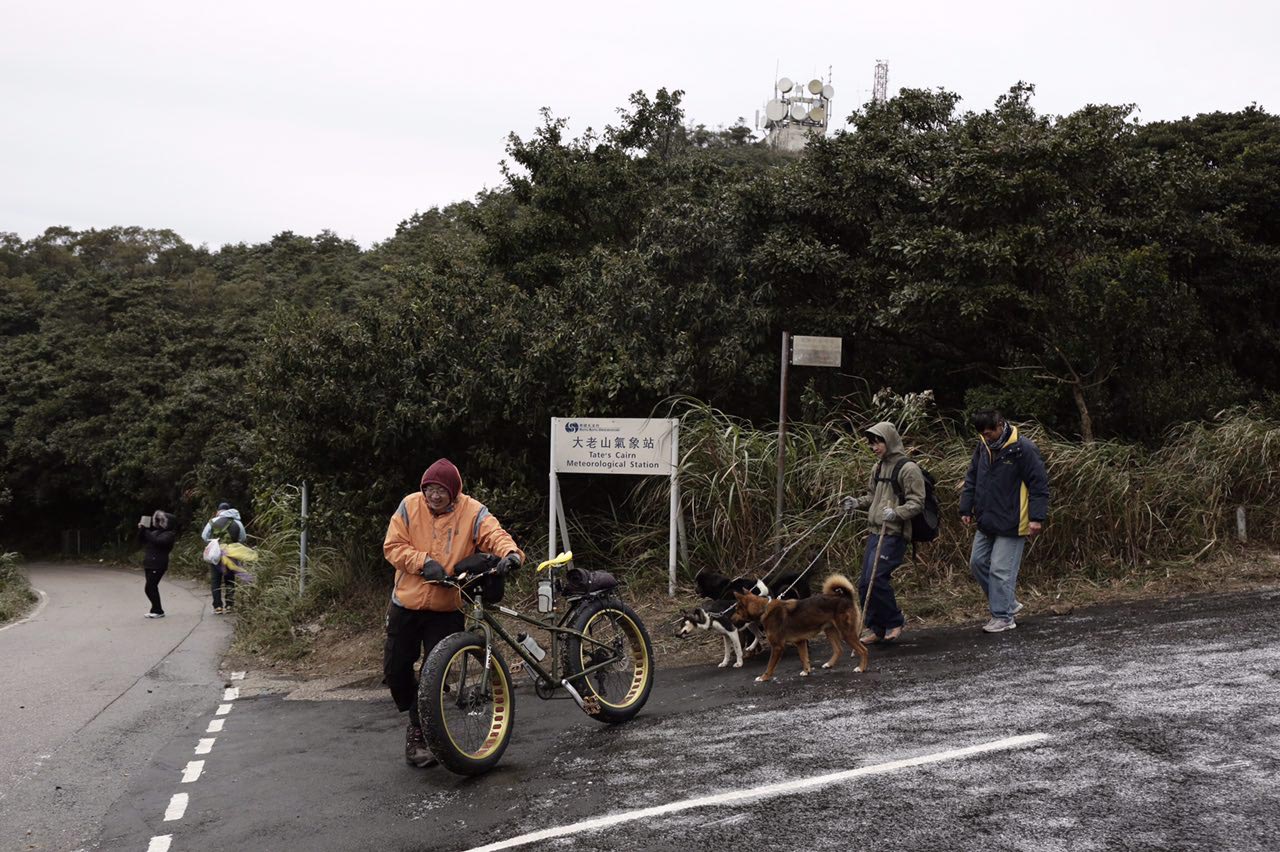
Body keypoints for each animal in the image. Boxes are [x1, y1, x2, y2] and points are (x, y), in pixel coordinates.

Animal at [732, 573, 870, 680]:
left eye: (737, 610)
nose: (731, 620)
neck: (764, 609)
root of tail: (846, 596)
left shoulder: (777, 647)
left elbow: (770, 666)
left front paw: (763, 677)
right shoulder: (800, 641)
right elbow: (804, 658)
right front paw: (806, 671)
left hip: (846, 633)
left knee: (863, 650)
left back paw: (861, 668)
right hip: (830, 631)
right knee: (838, 649)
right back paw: (829, 664)